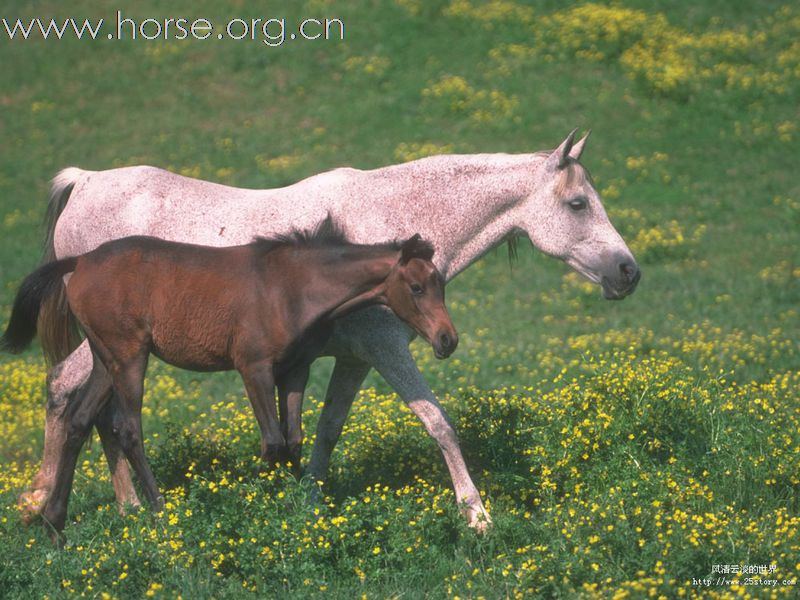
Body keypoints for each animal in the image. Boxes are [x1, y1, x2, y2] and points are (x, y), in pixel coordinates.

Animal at [17, 130, 636, 528]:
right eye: (578, 204)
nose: (628, 271)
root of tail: (86, 182)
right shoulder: (388, 351)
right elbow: (438, 423)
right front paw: (477, 515)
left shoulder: (355, 360)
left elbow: (326, 431)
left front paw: (308, 505)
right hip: (110, 348)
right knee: (65, 391)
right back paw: (45, 505)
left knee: (97, 411)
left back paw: (123, 508)